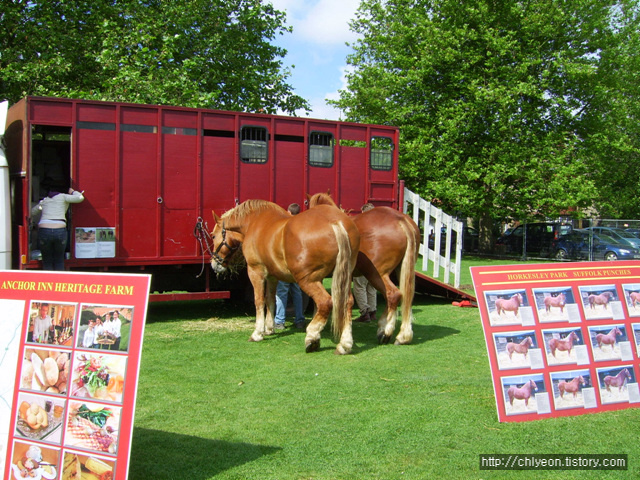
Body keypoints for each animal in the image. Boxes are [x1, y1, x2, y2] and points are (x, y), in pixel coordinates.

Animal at [210, 201, 360, 354]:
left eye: (213, 236)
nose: (214, 264)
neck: (254, 222)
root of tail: (334, 221)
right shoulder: (272, 276)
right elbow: (270, 299)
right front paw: (269, 328)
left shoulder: (255, 271)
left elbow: (259, 301)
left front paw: (257, 333)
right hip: (343, 278)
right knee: (347, 302)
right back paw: (345, 344)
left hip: (307, 280)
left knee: (325, 302)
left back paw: (312, 337)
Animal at [308, 192, 422, 344]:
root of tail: (400, 220)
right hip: (403, 270)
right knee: (406, 298)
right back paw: (403, 335)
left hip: (376, 273)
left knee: (393, 295)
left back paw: (385, 331)